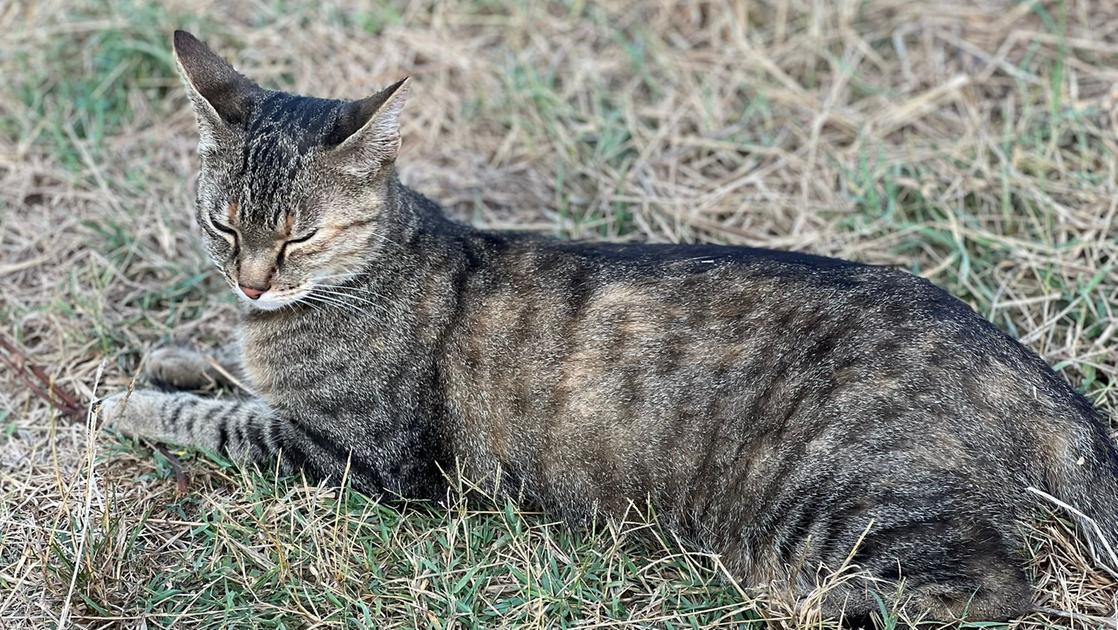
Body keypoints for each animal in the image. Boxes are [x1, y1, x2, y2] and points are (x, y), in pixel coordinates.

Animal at [98, 30, 1118, 625]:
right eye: (224, 223)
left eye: (298, 235)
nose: (251, 280)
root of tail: (1022, 365)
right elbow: (229, 376)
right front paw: (177, 353)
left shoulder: (365, 459)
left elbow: (227, 419)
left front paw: (127, 402)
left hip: (841, 506)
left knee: (992, 589)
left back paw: (807, 599)